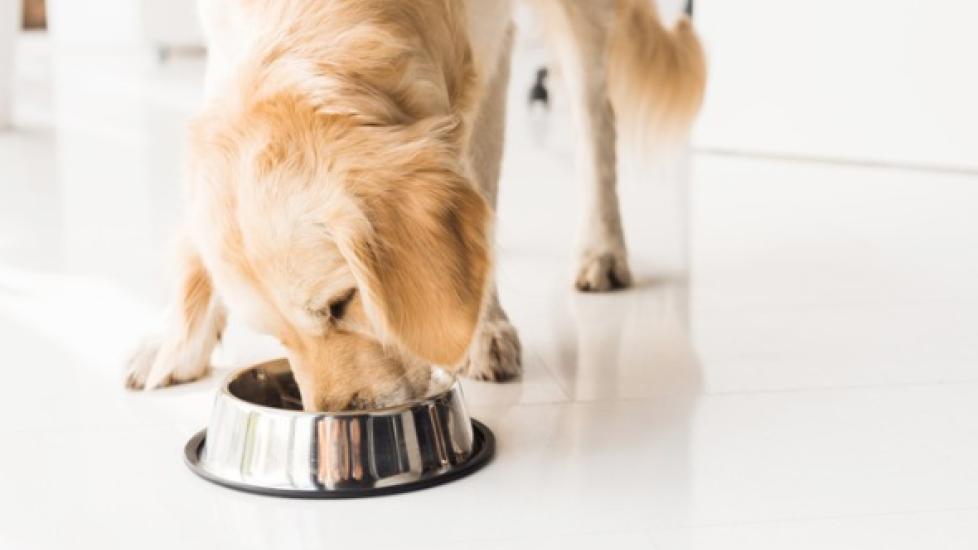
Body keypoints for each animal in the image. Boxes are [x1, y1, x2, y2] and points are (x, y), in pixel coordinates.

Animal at [124, 0, 700, 412]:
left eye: (341, 304)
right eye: (275, 335)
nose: (339, 415)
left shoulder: (488, 45)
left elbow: (478, 176)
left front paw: (482, 329)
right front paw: (176, 340)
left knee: (594, 115)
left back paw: (601, 249)